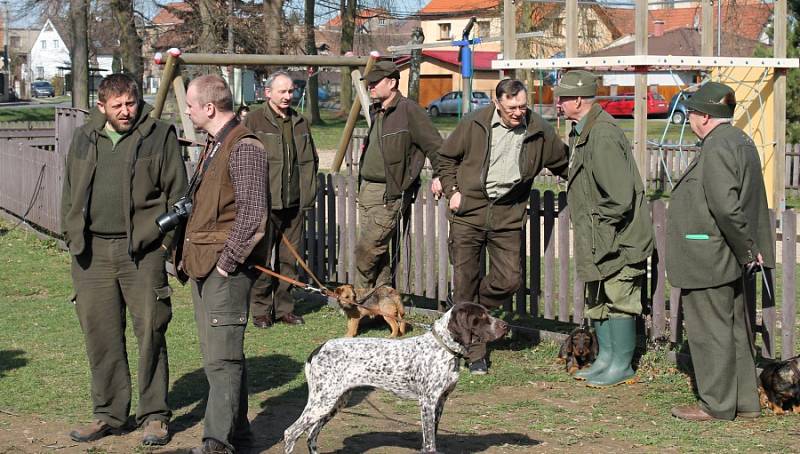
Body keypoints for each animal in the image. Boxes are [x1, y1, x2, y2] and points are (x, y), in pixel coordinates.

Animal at [284, 302, 506, 454]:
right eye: (481, 316)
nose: (506, 326)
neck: (443, 348)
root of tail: (318, 349)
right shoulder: (427, 402)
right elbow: (429, 442)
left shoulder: (441, 401)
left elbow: (431, 437)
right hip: (323, 402)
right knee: (291, 433)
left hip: (336, 401)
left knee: (311, 435)